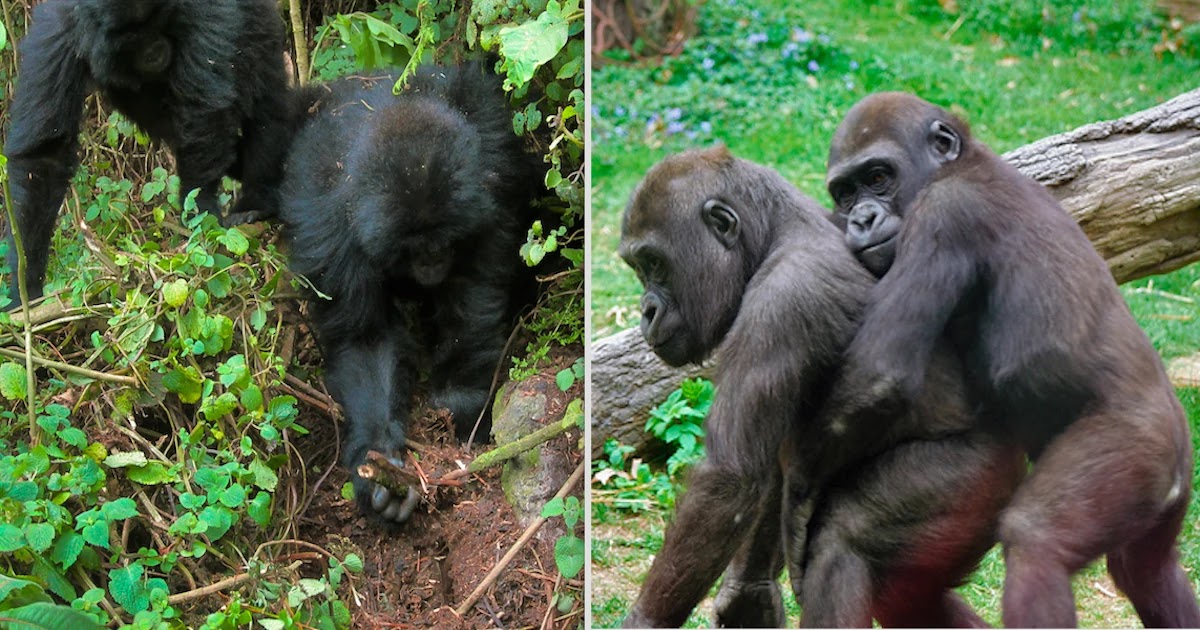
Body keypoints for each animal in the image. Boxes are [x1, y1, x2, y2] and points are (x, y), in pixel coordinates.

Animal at [5, 0, 292, 304]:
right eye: (131, 36)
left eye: (157, 20)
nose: (154, 50)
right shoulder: (58, 35)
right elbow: (45, 157)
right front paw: (26, 285)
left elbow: (204, 106)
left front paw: (202, 214)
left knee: (265, 102)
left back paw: (257, 200)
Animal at [278, 63, 542, 523]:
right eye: (412, 245)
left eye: (442, 239)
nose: (433, 260)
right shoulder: (334, 233)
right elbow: (365, 340)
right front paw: (378, 461)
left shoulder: (486, 187)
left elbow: (472, 297)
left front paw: (461, 404)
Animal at [619, 146, 1022, 624]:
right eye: (638, 268)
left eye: (654, 264)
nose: (646, 311)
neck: (773, 234)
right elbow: (769, 471)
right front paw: (748, 589)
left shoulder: (782, 301)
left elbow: (730, 477)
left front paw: (647, 621)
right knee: (907, 594)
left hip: (975, 480)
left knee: (840, 542)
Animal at [825, 90, 1200, 624]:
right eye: (845, 194)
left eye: (878, 177)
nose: (861, 220)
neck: (961, 163)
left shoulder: (944, 212)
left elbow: (877, 375)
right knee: (1147, 569)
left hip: (1140, 447)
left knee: (1036, 540)